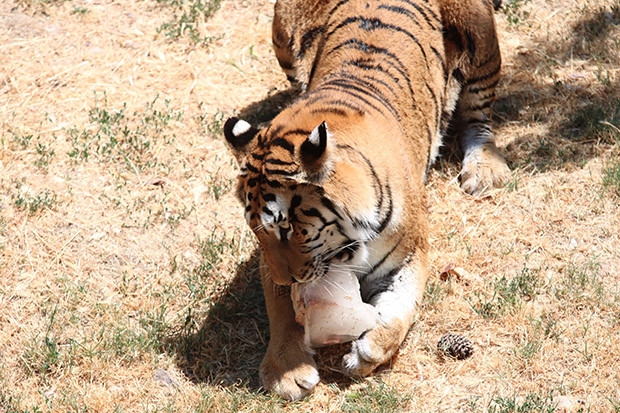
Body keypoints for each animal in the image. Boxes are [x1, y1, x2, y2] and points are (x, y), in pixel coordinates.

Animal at [223, 0, 508, 400]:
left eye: (287, 229)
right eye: (257, 231)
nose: (284, 279)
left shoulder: (410, 254)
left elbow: (402, 310)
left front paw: (369, 350)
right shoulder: (270, 264)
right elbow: (282, 312)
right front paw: (286, 371)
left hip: (480, 38)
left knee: (478, 117)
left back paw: (484, 170)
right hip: (283, 25)